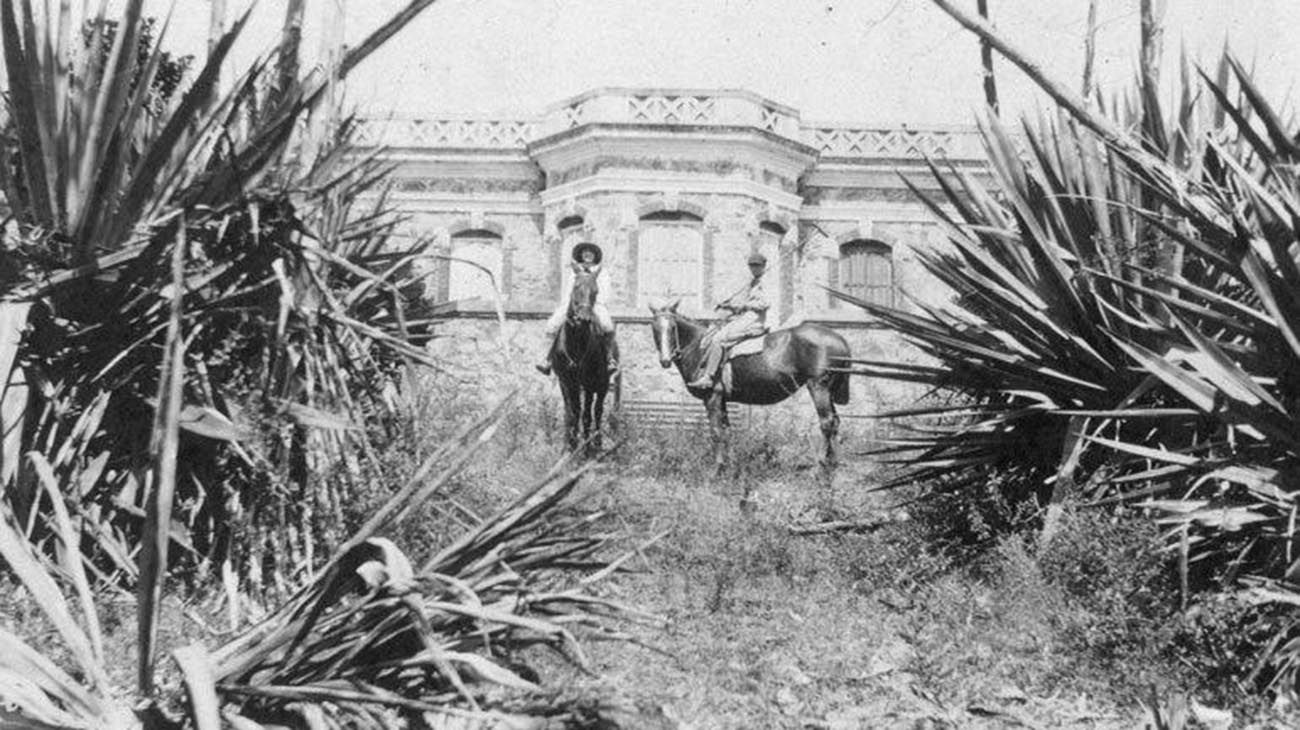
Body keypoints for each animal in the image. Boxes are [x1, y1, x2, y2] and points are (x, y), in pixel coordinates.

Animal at [543, 267, 613, 452]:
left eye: (596, 291)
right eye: (575, 288)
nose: (584, 318)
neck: (576, 341)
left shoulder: (588, 383)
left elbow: (587, 414)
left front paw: (586, 448)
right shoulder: (566, 381)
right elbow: (571, 413)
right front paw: (570, 445)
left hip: (601, 384)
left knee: (597, 411)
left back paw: (596, 443)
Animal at [650, 298, 852, 467]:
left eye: (673, 327)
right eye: (654, 328)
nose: (665, 360)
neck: (700, 347)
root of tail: (839, 339)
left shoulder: (712, 397)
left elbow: (716, 432)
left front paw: (718, 468)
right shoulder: (722, 399)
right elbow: (727, 431)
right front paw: (730, 465)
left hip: (818, 387)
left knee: (826, 422)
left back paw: (821, 464)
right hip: (828, 391)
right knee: (835, 421)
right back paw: (835, 462)